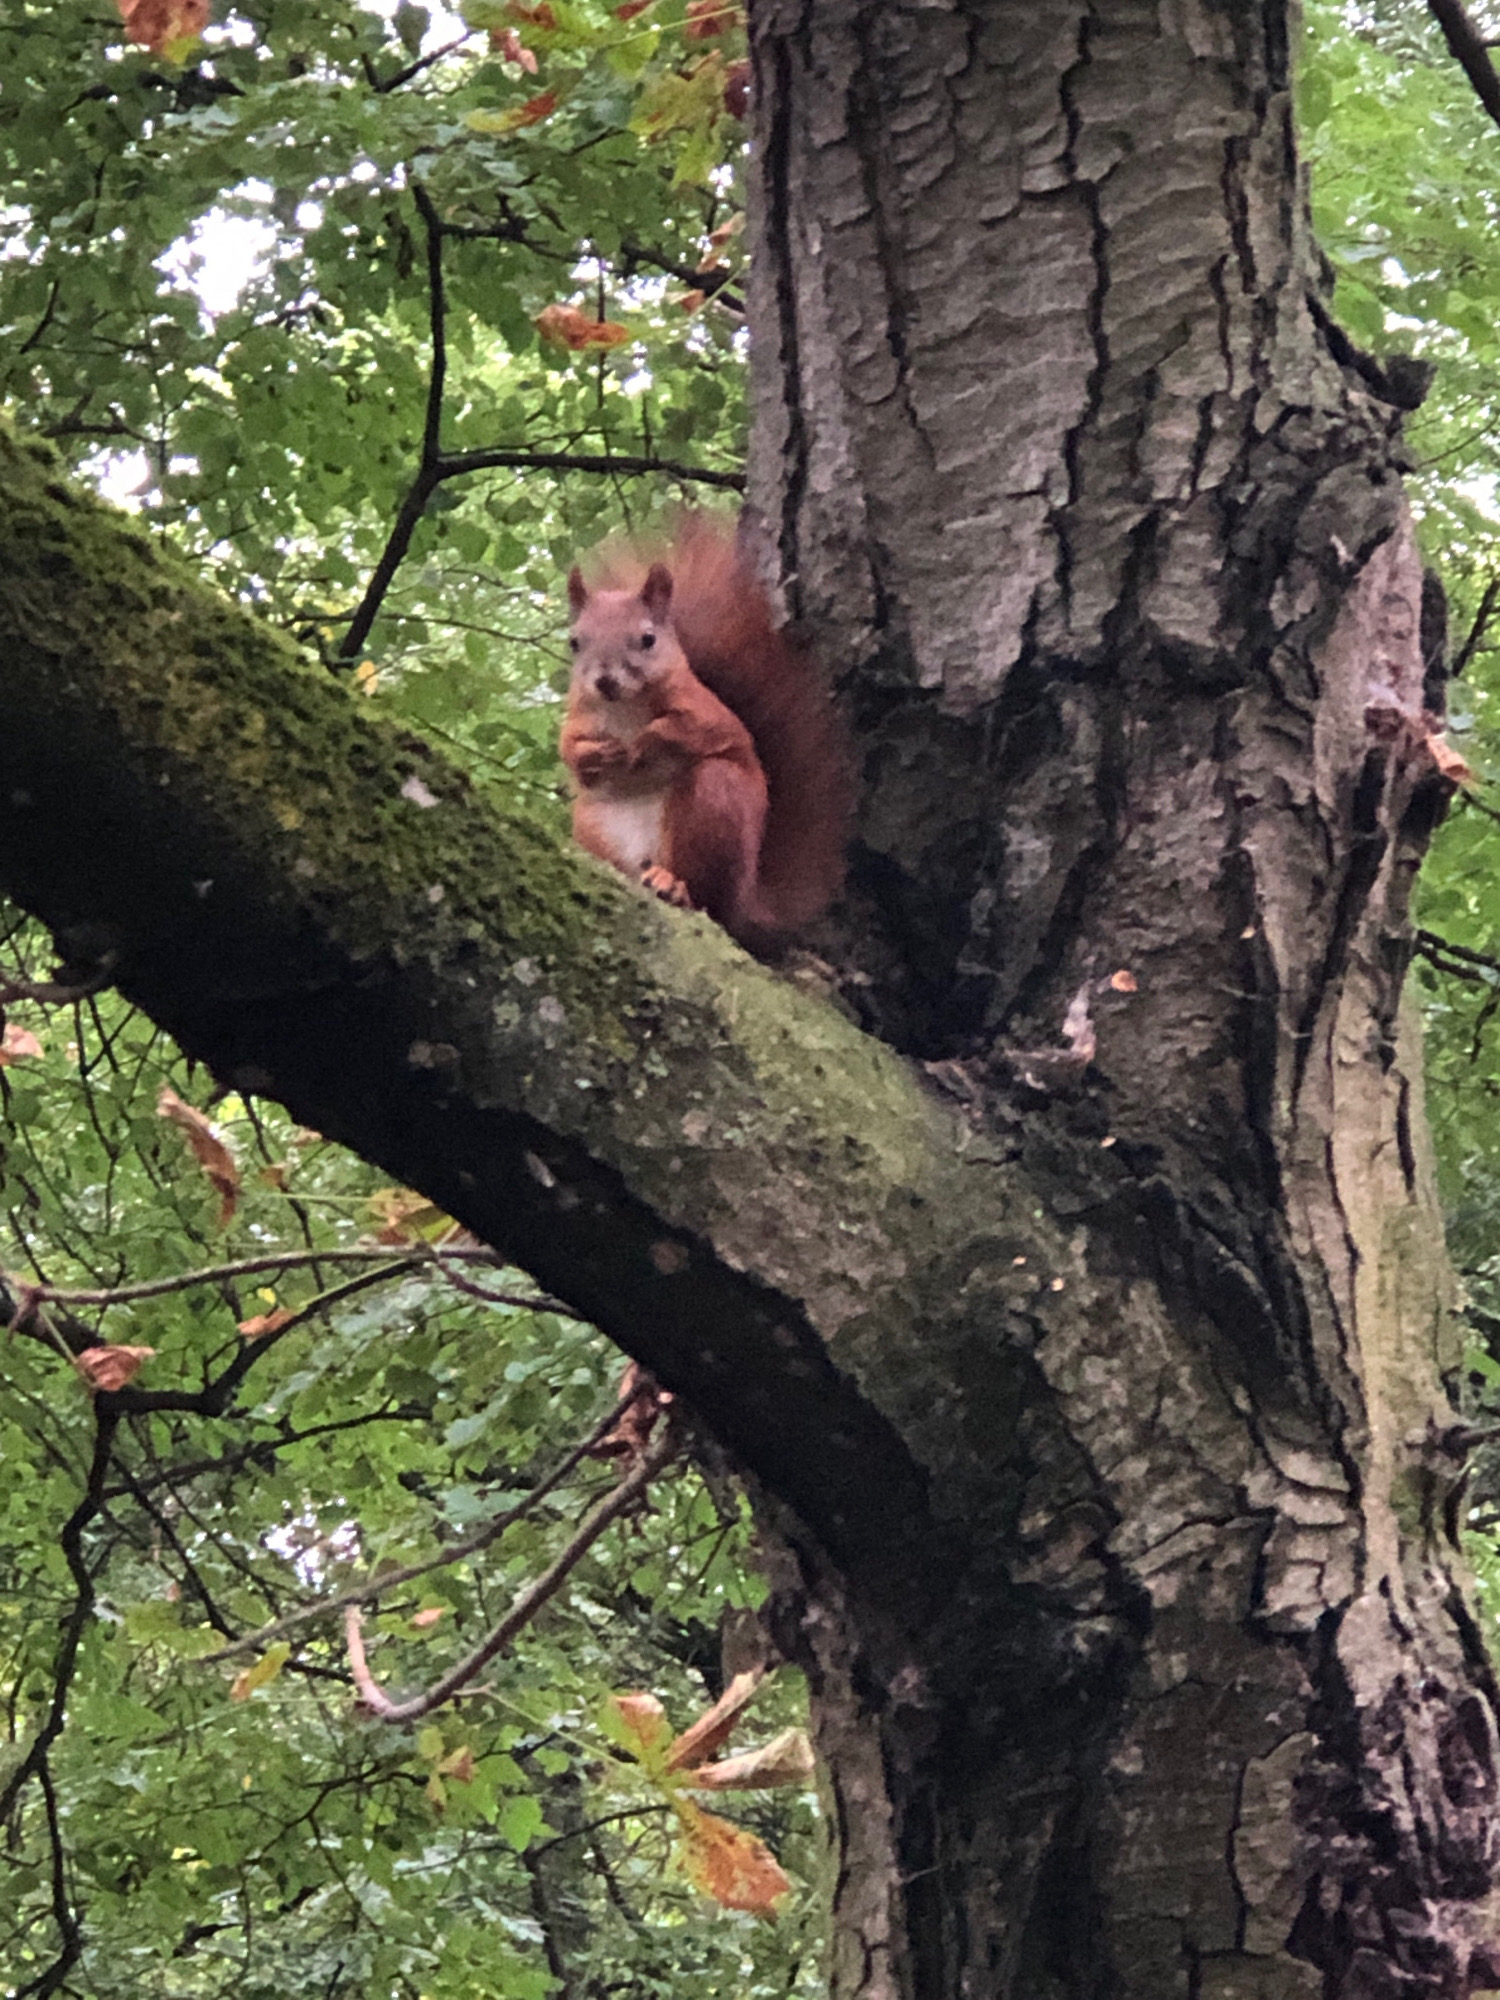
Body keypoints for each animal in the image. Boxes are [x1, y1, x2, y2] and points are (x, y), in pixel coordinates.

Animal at [559, 514, 848, 948]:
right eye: (575, 642)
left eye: (648, 639)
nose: (605, 681)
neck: (624, 708)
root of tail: (746, 900)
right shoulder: (579, 716)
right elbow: (568, 749)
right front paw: (595, 754)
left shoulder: (707, 712)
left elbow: (691, 731)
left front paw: (645, 742)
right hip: (594, 827)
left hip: (715, 803)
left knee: (706, 895)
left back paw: (675, 884)